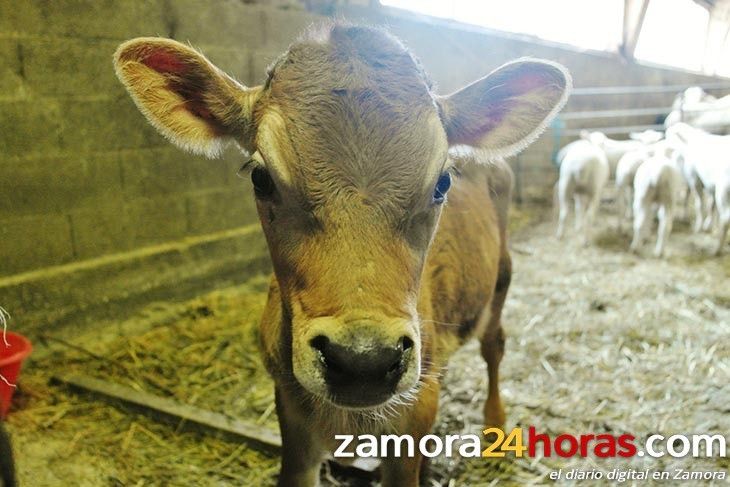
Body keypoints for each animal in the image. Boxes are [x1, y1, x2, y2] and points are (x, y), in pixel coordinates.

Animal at [114, 23, 568, 487]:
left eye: (442, 182)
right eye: (261, 178)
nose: (362, 361)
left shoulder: (413, 411)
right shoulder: (291, 412)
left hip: (501, 277)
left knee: (494, 344)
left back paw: (495, 423)